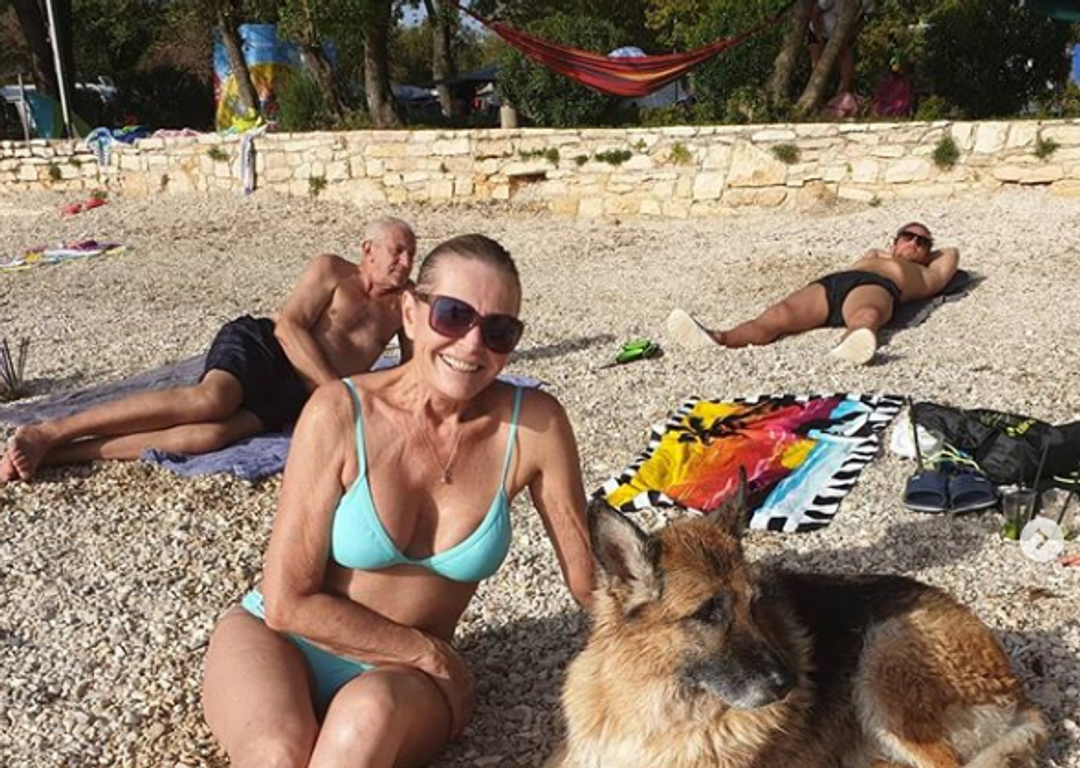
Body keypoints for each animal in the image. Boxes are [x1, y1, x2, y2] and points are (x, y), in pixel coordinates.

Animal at [544, 492, 1047, 768]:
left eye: (755, 603)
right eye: (708, 613)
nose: (789, 684)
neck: (660, 705)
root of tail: (1021, 695)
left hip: (885, 650)